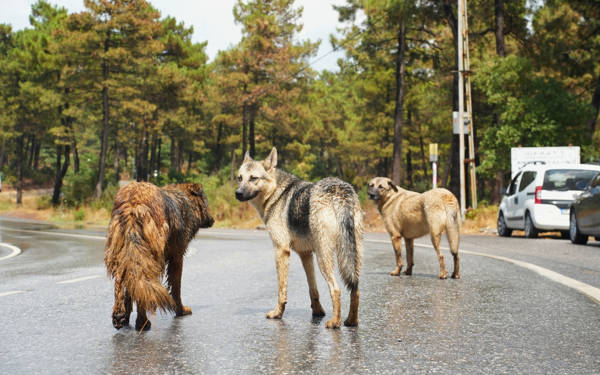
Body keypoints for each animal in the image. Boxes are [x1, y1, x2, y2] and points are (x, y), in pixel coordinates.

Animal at [104, 183, 214, 332]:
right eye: (206, 202)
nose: (213, 220)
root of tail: (133, 203)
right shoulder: (177, 258)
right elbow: (176, 288)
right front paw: (181, 311)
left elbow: (130, 290)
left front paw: (126, 316)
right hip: (154, 254)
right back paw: (142, 322)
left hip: (122, 250)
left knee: (123, 280)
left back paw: (119, 316)